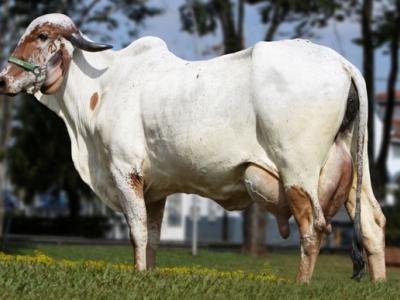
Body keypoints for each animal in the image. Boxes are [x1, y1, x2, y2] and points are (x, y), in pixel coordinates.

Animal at [0, 13, 386, 282]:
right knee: (372, 223)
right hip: (355, 171)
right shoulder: (155, 188)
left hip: (298, 172)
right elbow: (153, 238)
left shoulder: (125, 171)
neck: (102, 87)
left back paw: (301, 284)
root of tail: (340, 62)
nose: (4, 80)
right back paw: (378, 282)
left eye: (42, 36)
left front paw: (138, 275)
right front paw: (147, 276)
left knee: (313, 228)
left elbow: (137, 232)